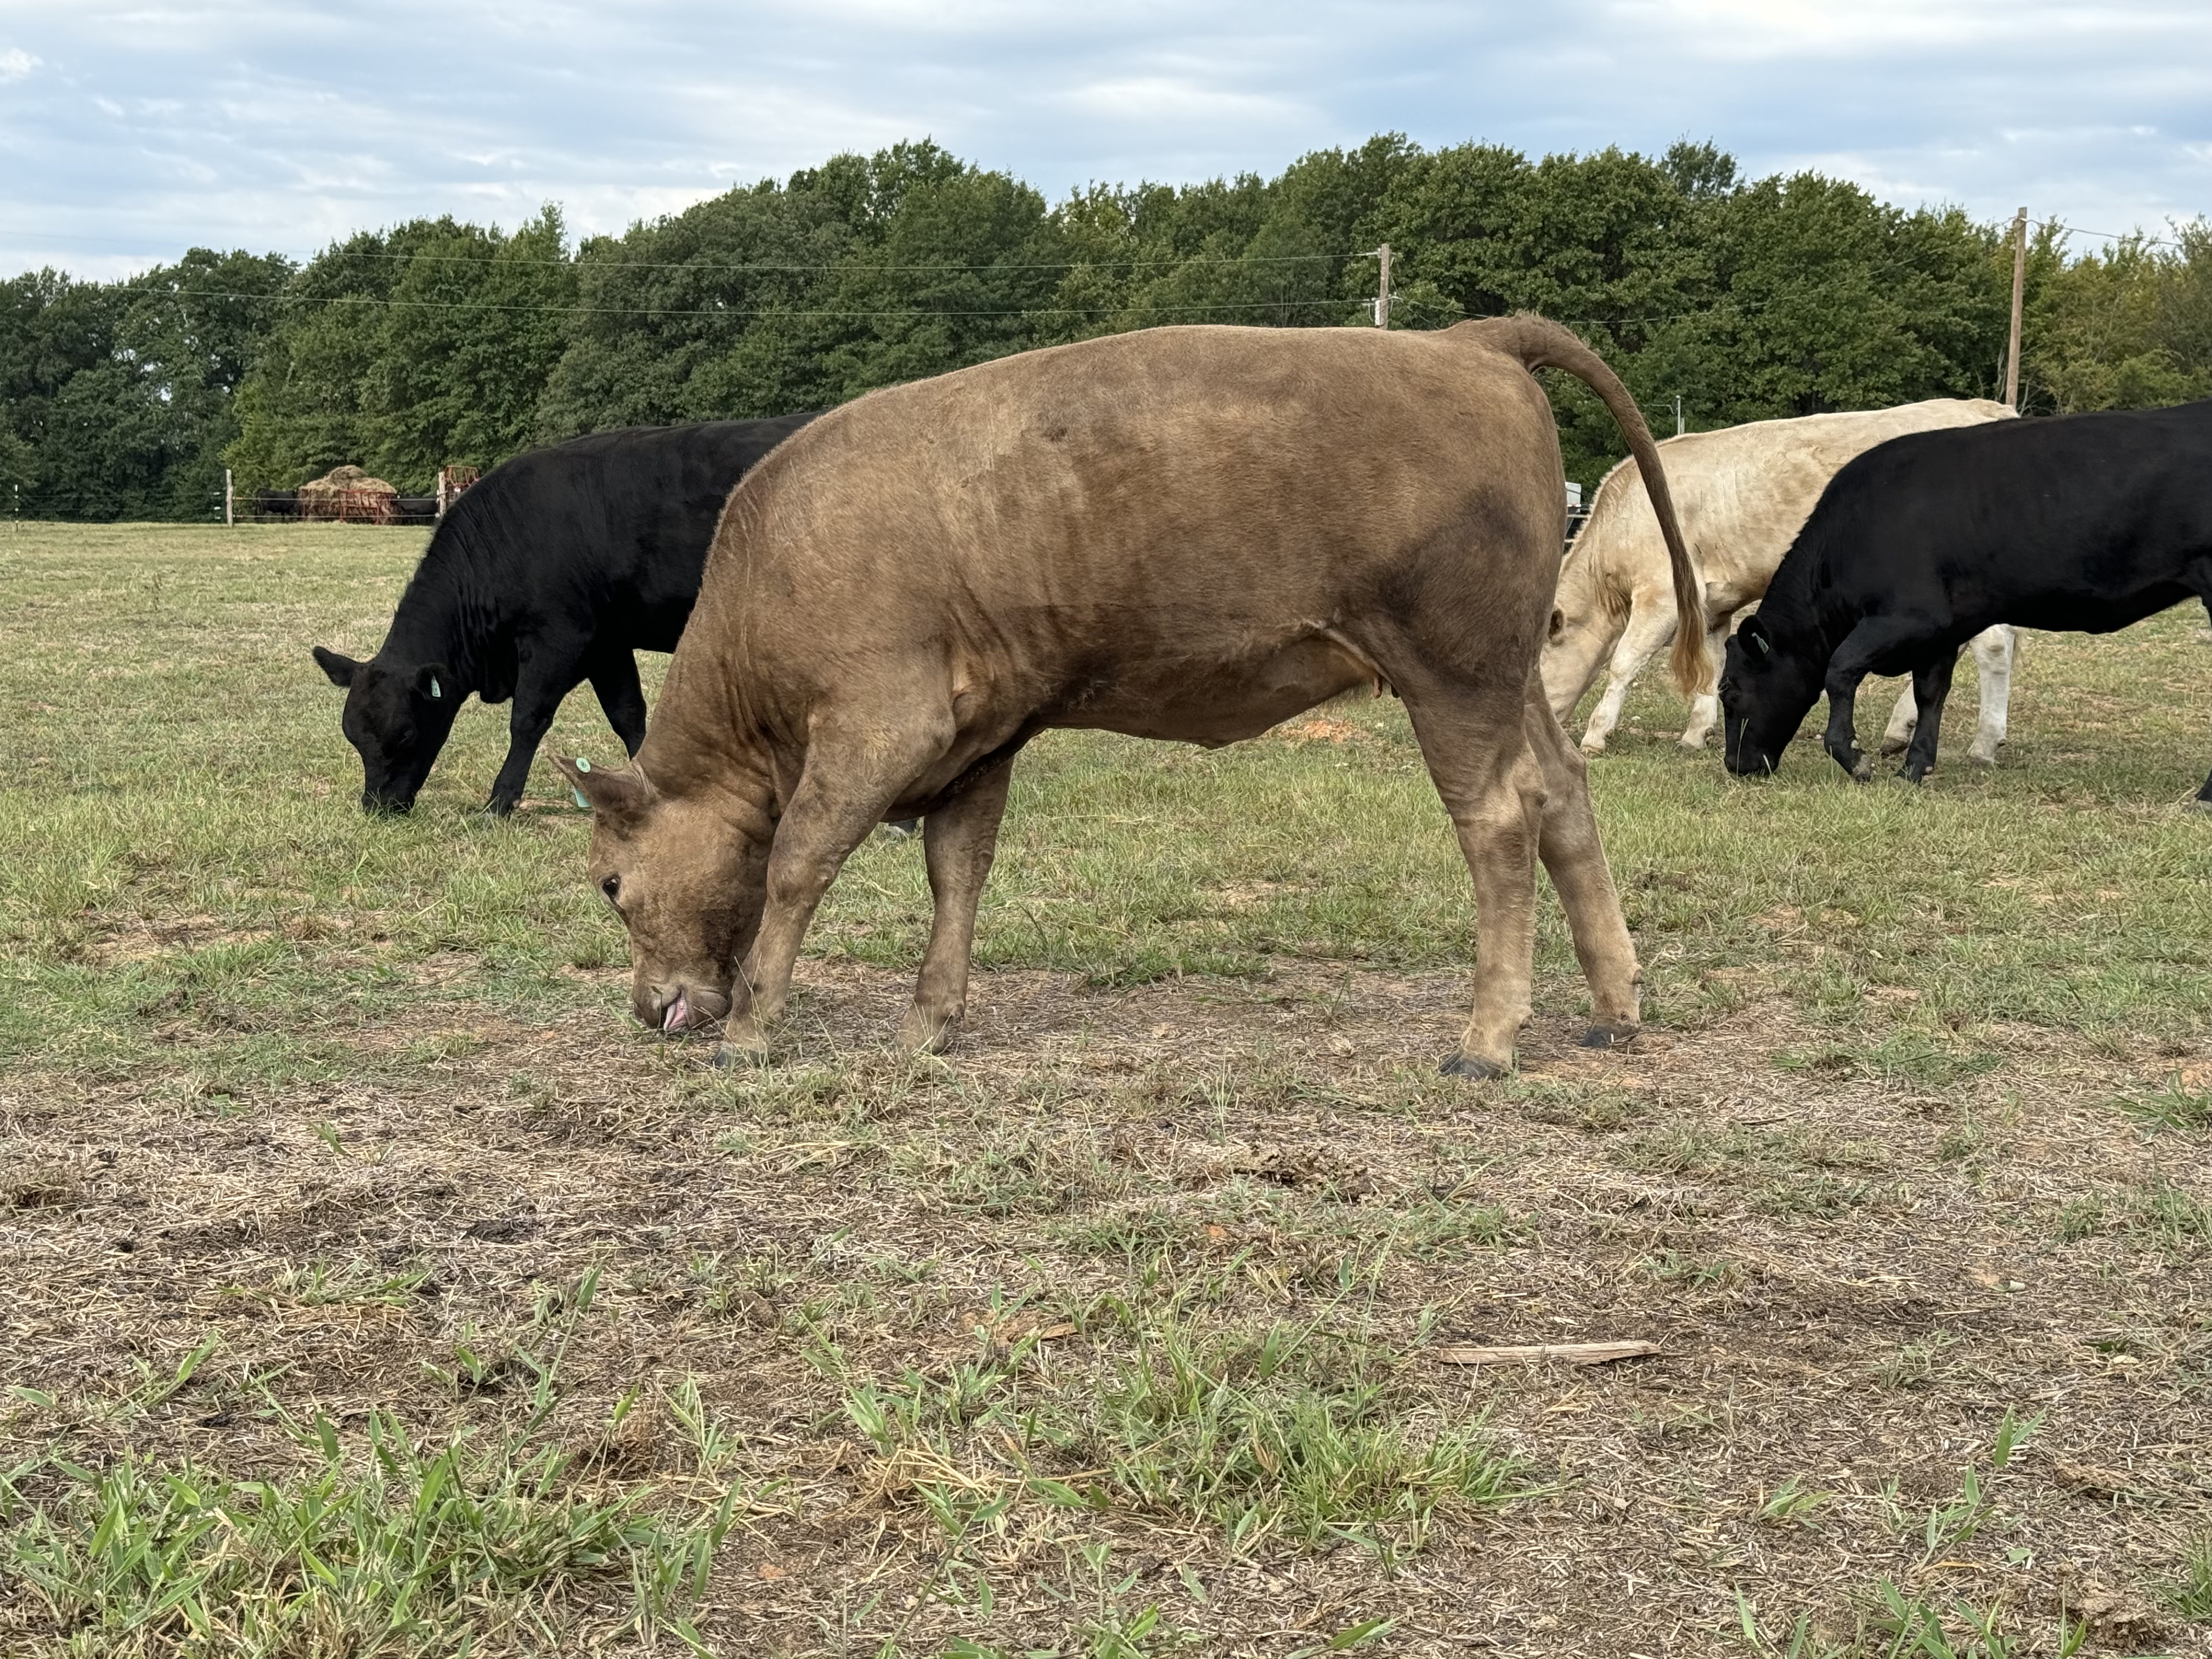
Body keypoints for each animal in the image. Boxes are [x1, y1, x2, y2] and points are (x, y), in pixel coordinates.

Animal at [316, 416, 818, 818]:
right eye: (352, 737)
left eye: (403, 735)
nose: (378, 806)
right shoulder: (607, 644)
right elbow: (628, 714)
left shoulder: (557, 636)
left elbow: (527, 718)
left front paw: (499, 801)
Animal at [553, 318, 1707, 1084]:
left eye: (611, 882)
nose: (649, 1006)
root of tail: (1467, 340)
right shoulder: (978, 741)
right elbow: (957, 872)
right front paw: (930, 1021)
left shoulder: (878, 724)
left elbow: (797, 862)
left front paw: (754, 1027)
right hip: (1509, 677)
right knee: (1563, 792)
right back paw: (1613, 1005)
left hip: (1451, 673)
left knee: (1502, 818)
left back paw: (1486, 1038)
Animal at [1539, 400, 2026, 765]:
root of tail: (1983, 408)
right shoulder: (1714, 603)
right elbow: (1713, 665)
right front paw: (1695, 733)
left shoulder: (1662, 595)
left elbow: (1624, 663)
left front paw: (1596, 735)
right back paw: (1900, 731)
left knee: (1993, 647)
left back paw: (1983, 744)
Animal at [1716, 396, 2212, 800]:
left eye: (1729, 690)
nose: (1734, 765)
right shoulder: (1942, 630)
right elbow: (1930, 694)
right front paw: (1914, 769)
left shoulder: (1907, 617)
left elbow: (1840, 670)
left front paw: (1855, 759)